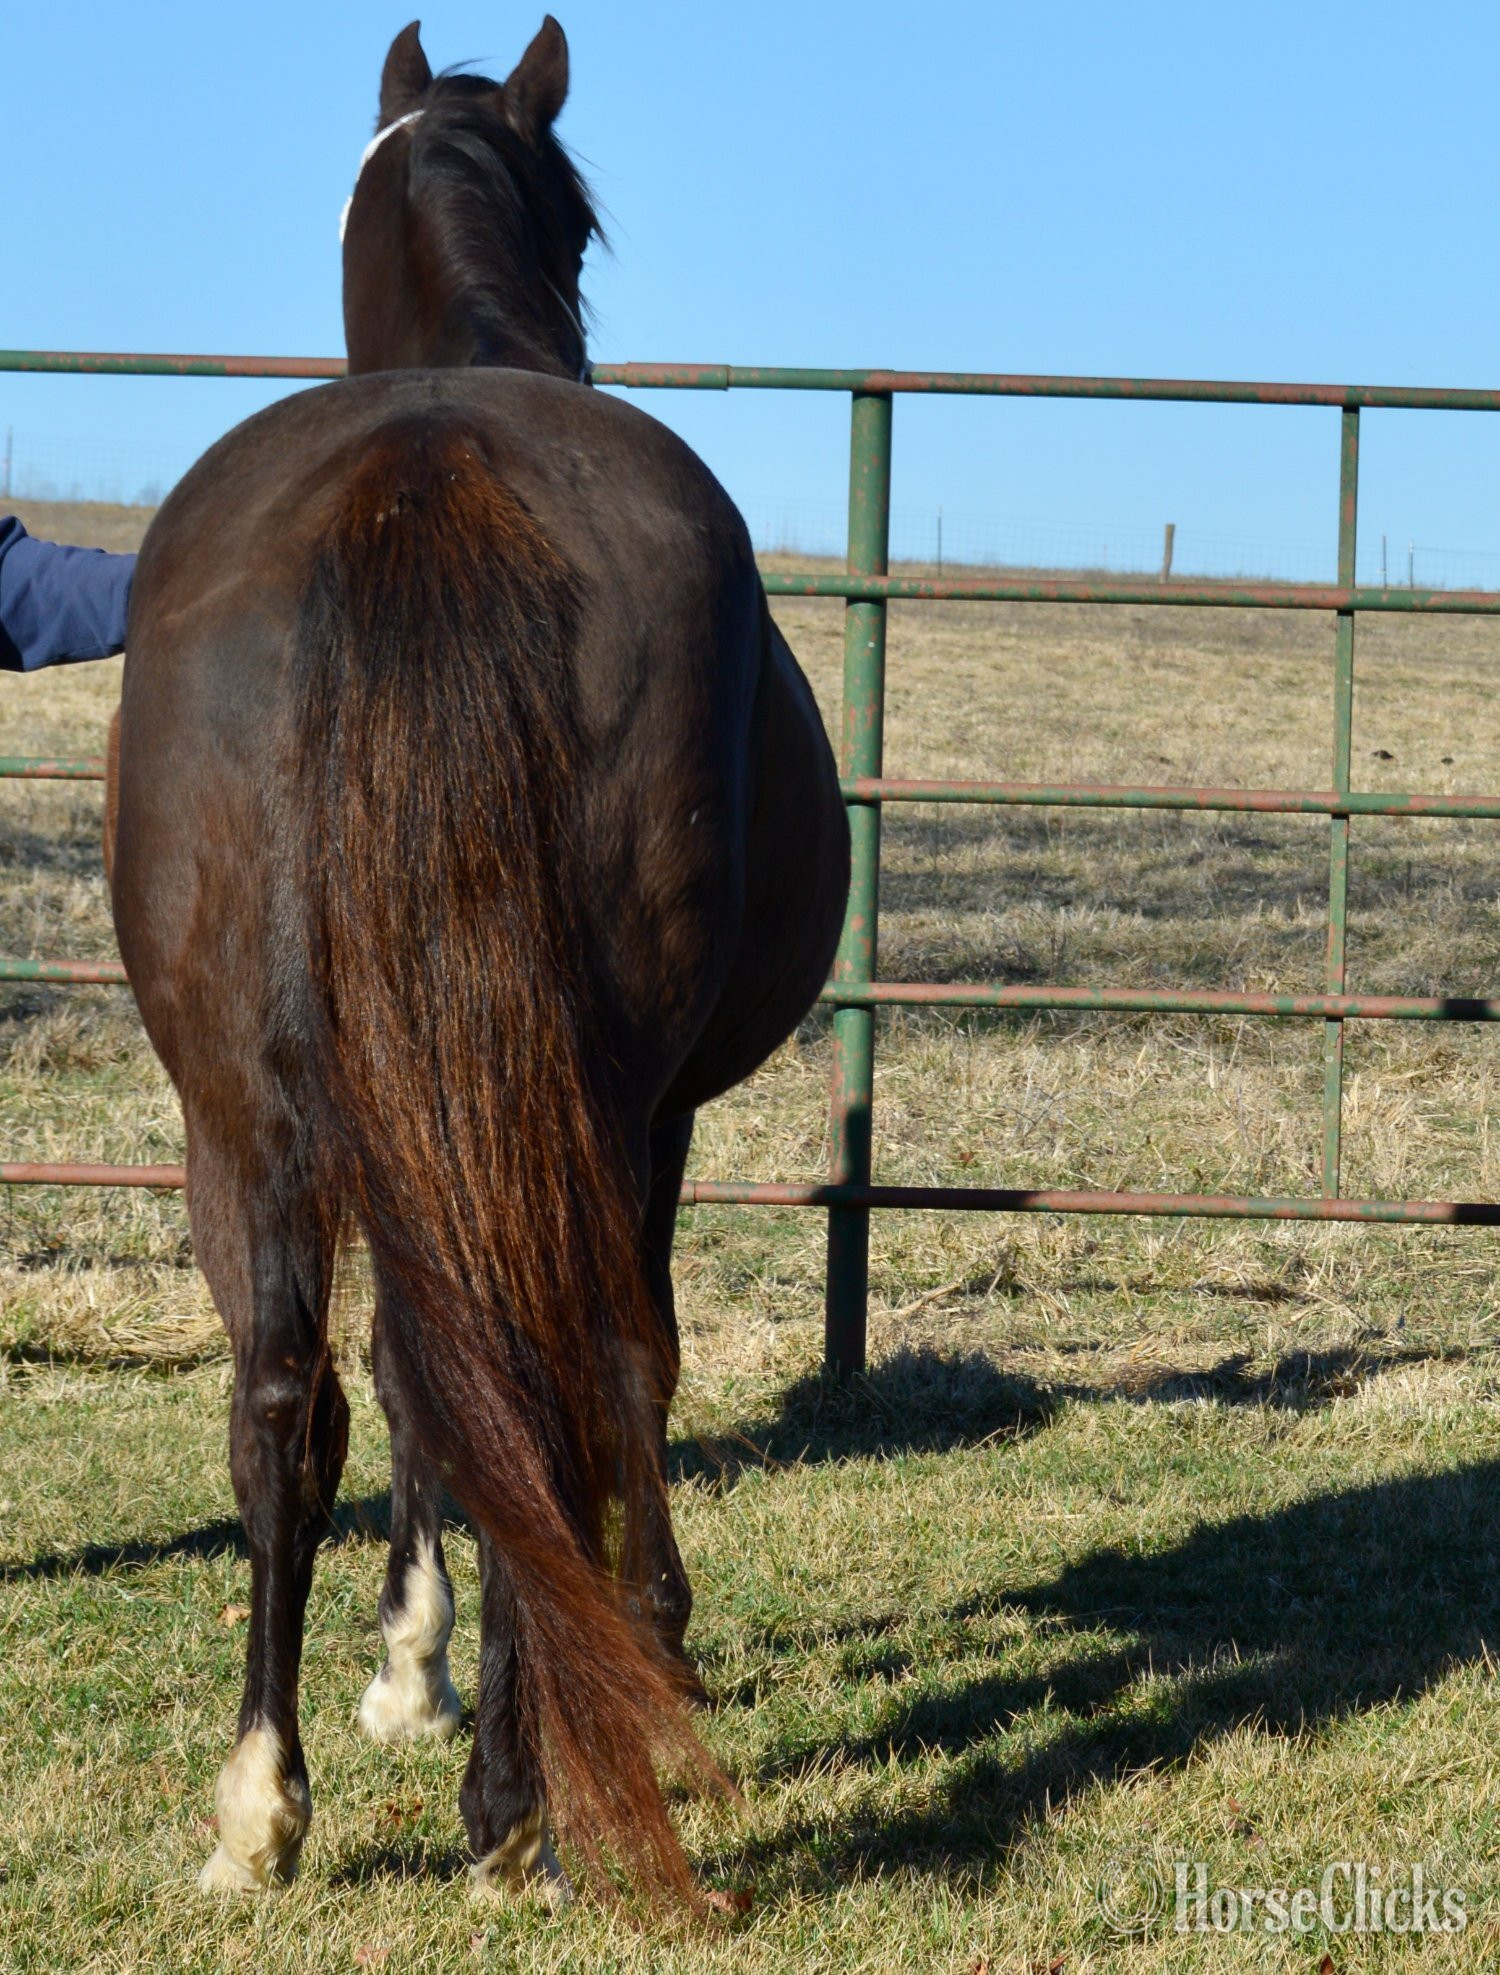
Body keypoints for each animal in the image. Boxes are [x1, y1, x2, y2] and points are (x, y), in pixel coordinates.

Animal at [107, 15, 849, 1907]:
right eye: (581, 225)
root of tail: (423, 474)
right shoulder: (651, 1114)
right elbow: (614, 1368)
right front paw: (624, 1645)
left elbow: (395, 1380)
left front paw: (412, 1665)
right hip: (576, 1098)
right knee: (549, 1363)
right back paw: (520, 1798)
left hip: (249, 1114)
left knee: (283, 1399)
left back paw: (262, 1801)